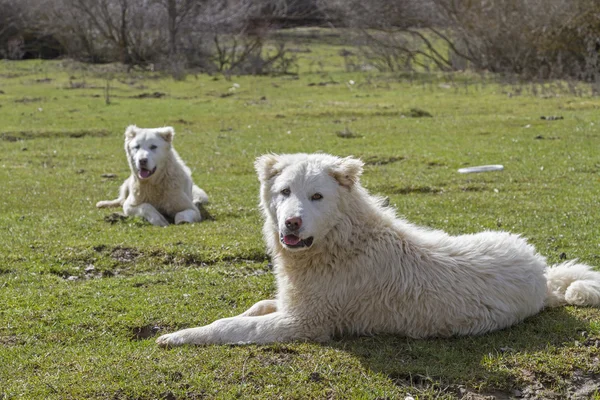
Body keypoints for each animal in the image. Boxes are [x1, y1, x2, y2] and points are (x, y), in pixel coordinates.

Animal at [156, 153, 600, 346]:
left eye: (317, 196)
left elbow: (232, 327)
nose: (291, 223)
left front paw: (180, 336)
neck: (341, 240)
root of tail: (541, 271)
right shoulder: (294, 304)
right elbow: (251, 310)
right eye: (284, 193)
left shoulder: (305, 323)